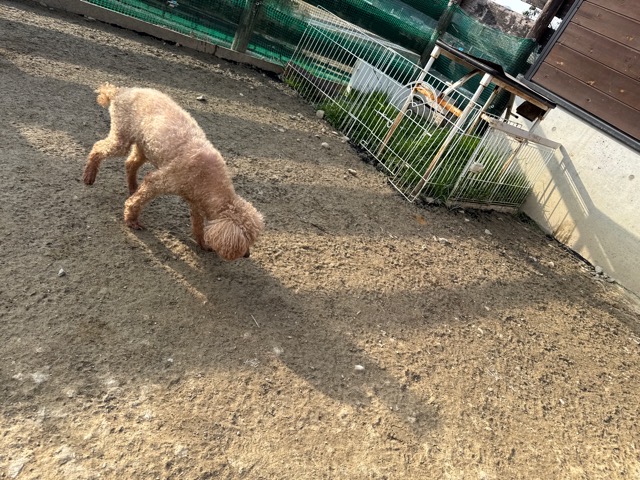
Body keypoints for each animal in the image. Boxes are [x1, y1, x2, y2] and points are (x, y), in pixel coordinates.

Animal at [83, 83, 264, 260]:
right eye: (246, 240)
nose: (247, 255)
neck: (209, 180)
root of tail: (121, 91)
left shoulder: (195, 201)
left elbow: (198, 225)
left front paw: (203, 244)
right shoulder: (159, 181)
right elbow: (137, 201)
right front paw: (131, 220)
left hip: (145, 147)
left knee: (130, 163)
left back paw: (133, 187)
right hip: (122, 138)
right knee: (98, 148)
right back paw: (89, 176)